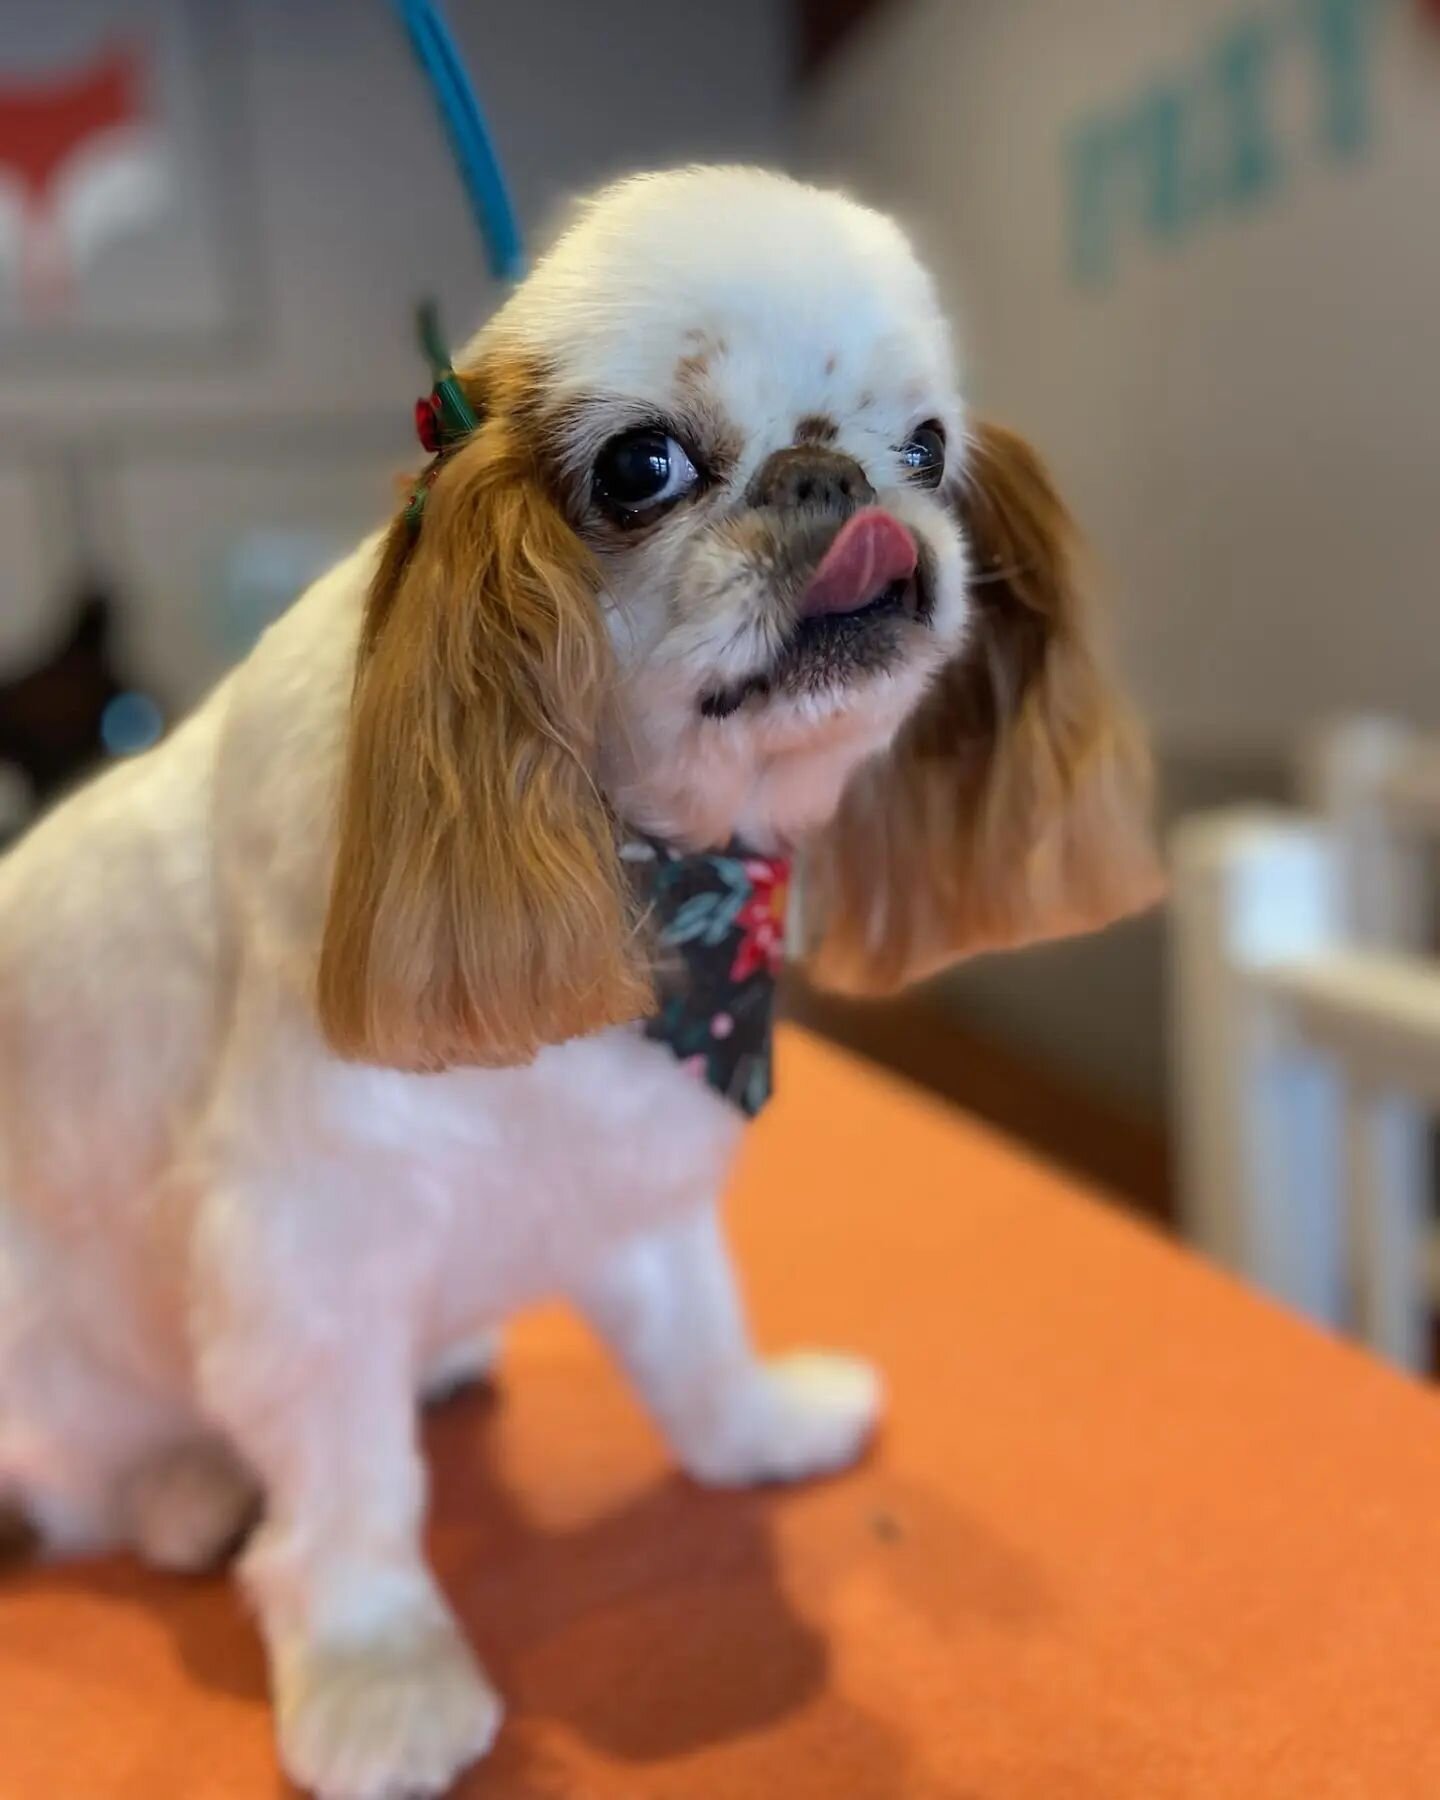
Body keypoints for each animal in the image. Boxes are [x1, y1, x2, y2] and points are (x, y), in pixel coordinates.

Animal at [0, 165, 1144, 1785]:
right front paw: (377, 1676)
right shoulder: (305, 1253)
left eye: (926, 445)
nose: (832, 478)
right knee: (85, 1482)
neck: (638, 874)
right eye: (641, 465)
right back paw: (186, 1493)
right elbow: (350, 1500)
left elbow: (694, 1342)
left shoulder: (627, 1172)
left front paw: (760, 1429)